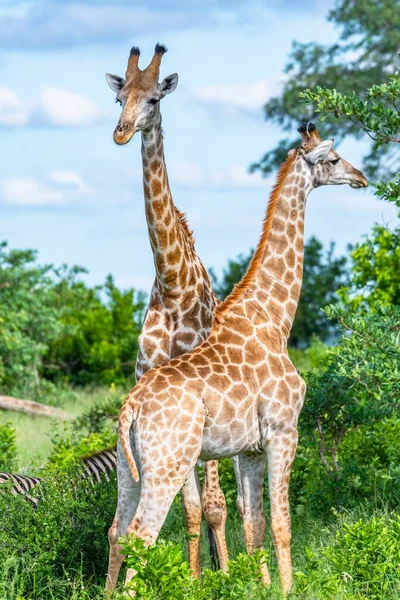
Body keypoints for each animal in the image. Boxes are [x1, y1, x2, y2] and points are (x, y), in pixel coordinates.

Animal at [109, 120, 368, 592]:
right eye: (335, 158)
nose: (361, 178)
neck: (275, 316)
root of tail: (131, 407)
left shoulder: (249, 449)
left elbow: (254, 524)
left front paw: (261, 587)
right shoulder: (285, 430)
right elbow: (282, 523)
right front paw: (288, 590)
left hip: (128, 464)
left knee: (118, 529)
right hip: (168, 463)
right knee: (142, 533)